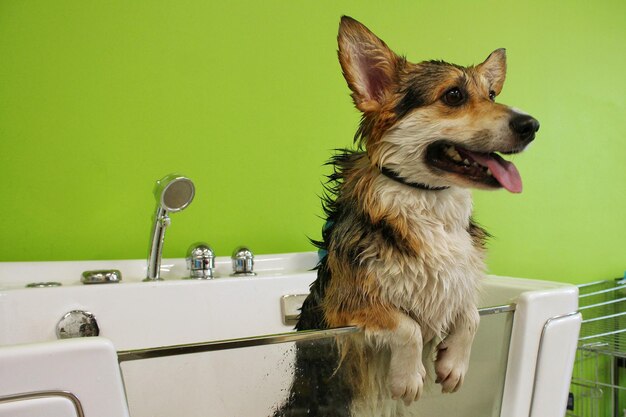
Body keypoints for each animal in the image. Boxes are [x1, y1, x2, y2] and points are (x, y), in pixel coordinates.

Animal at [272, 16, 536, 416]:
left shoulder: (456, 283)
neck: (428, 201)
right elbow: (406, 323)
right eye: (453, 96)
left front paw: (453, 365)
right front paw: (409, 378)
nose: (532, 125)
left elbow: (470, 314)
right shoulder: (345, 306)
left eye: (491, 94)